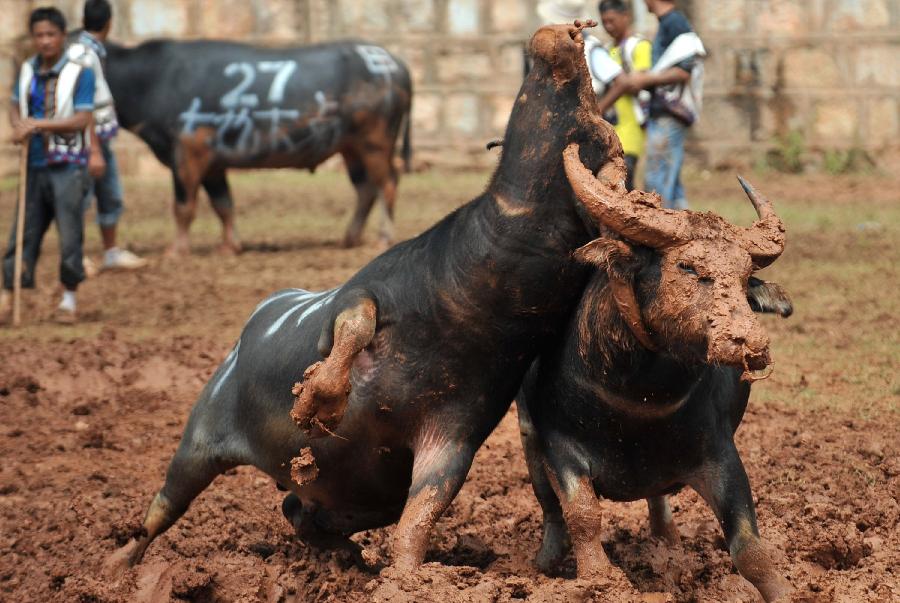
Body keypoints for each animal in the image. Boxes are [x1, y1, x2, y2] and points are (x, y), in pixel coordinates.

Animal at [104, 37, 412, 255]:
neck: (152, 81)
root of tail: (395, 63)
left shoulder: (187, 152)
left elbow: (184, 205)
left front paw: (175, 252)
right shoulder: (214, 163)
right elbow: (223, 203)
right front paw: (229, 247)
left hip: (375, 142)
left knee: (388, 183)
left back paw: (383, 239)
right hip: (350, 147)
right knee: (365, 188)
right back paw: (349, 239)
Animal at [512, 144, 796, 600]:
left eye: (743, 277)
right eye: (689, 267)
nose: (750, 343)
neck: (636, 400)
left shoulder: (720, 453)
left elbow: (751, 548)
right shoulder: (558, 444)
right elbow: (582, 515)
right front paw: (597, 579)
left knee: (659, 501)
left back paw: (668, 544)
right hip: (527, 437)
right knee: (550, 508)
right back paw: (547, 560)